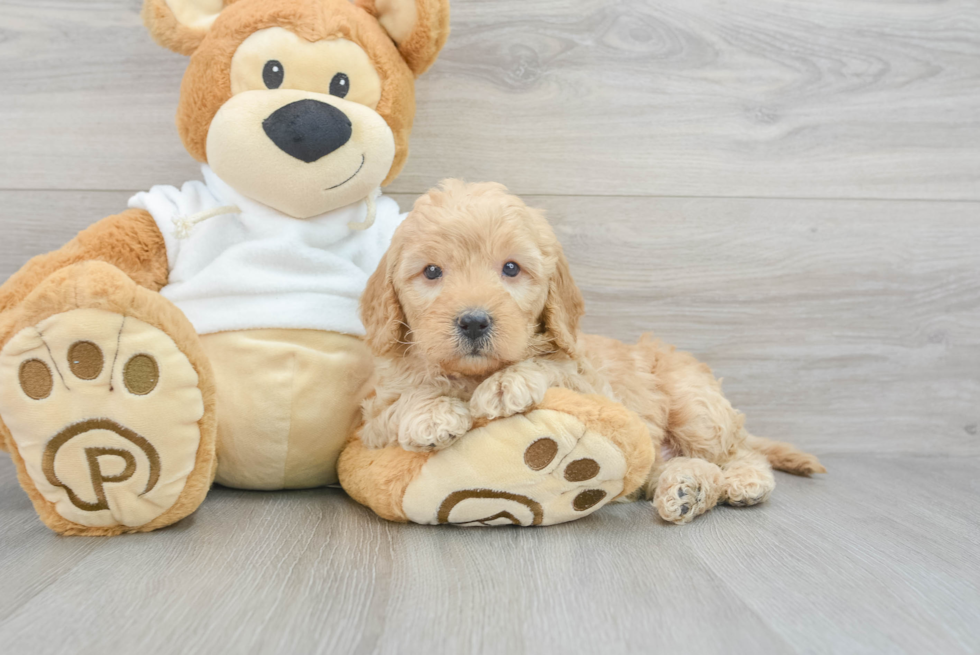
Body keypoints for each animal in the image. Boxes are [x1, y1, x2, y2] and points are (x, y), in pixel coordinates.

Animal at [356, 178, 824, 524]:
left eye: (511, 268)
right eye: (432, 271)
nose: (473, 321)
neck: (473, 374)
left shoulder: (594, 386)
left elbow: (552, 364)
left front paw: (508, 384)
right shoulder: (373, 419)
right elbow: (399, 403)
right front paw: (433, 414)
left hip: (696, 407)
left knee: (736, 453)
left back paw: (742, 482)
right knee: (687, 467)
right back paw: (685, 489)